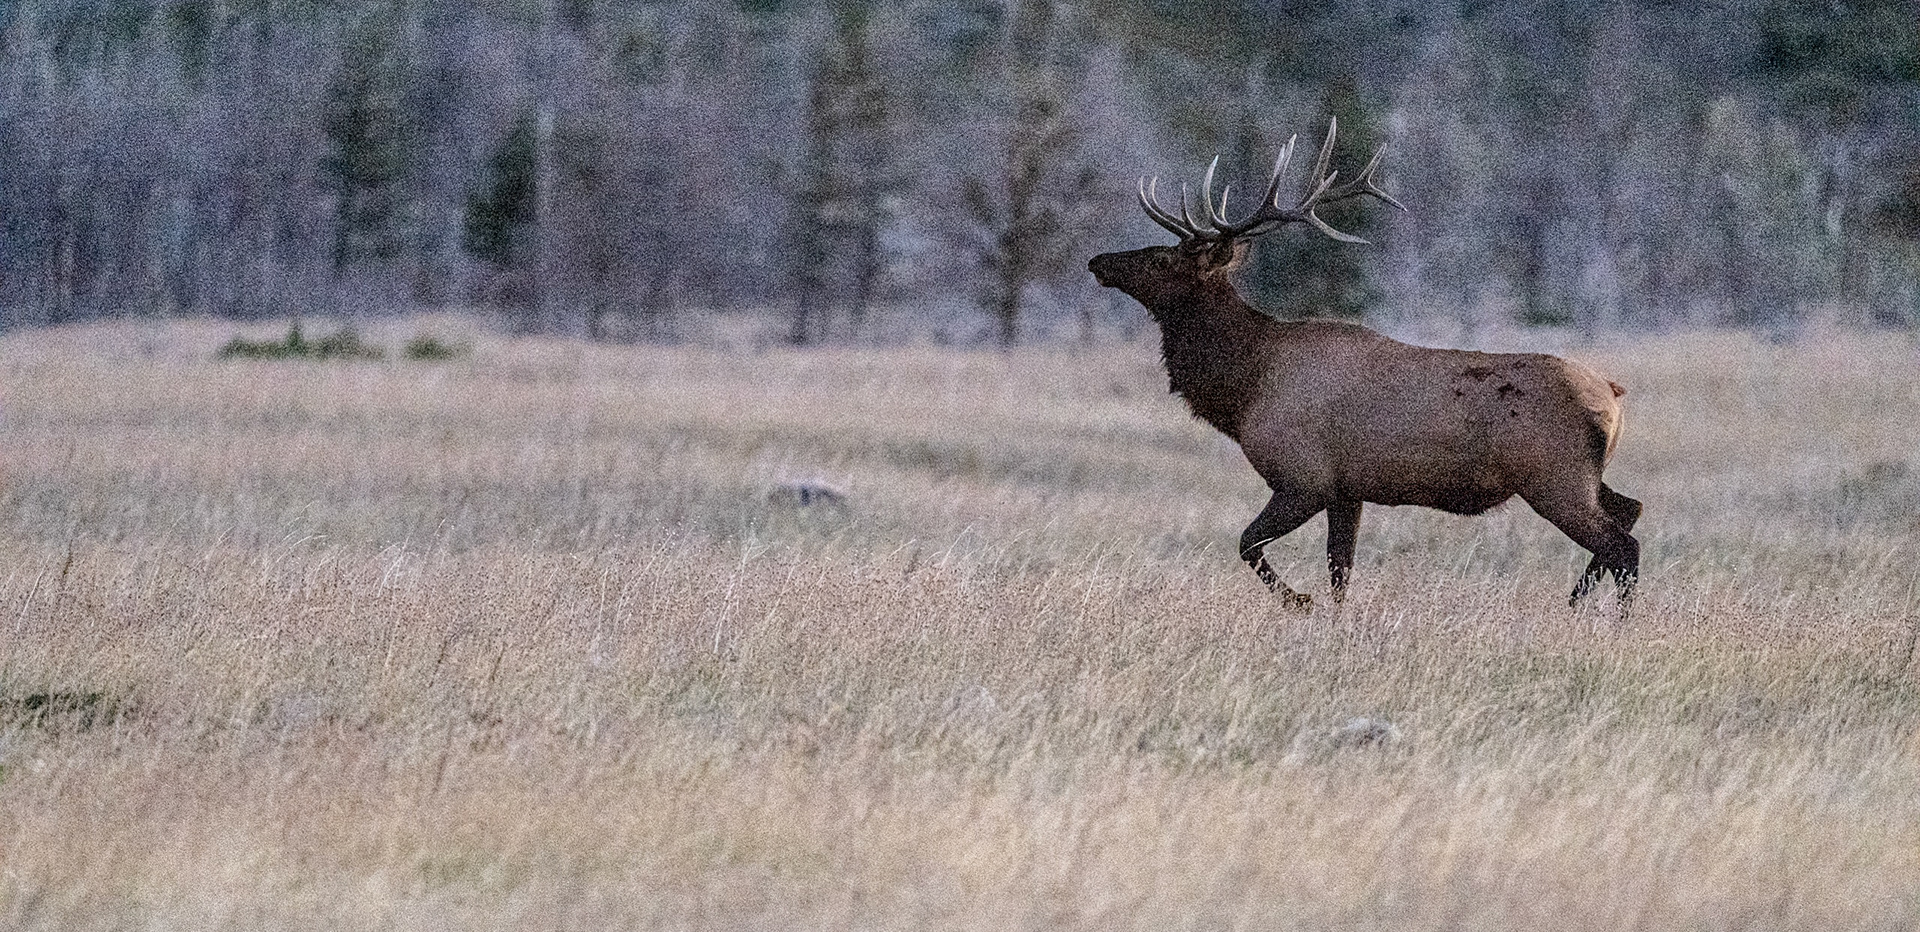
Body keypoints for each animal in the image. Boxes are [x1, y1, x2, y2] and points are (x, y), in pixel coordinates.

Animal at [1087, 119, 1641, 614]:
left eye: (1163, 259)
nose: (1098, 261)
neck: (1245, 388)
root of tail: (1614, 393)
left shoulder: (1303, 477)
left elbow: (1248, 544)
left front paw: (1300, 602)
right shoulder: (1346, 489)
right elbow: (1340, 571)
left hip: (1553, 478)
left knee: (1622, 544)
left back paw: (1611, 618)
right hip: (1581, 477)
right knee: (1629, 512)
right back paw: (1574, 602)